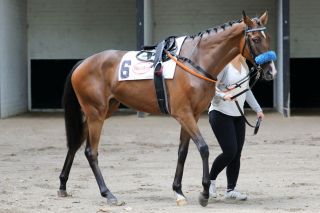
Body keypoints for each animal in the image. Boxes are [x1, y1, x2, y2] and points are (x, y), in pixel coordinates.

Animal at [58, 11, 278, 206]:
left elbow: (183, 152)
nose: (271, 71)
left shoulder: (192, 116)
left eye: (267, 38)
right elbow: (203, 148)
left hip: (100, 112)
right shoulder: (183, 114)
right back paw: (108, 194)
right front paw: (204, 193)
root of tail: (83, 62)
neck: (196, 60)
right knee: (91, 152)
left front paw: (178, 191)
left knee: (75, 145)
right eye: (255, 39)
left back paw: (62, 186)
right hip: (96, 113)